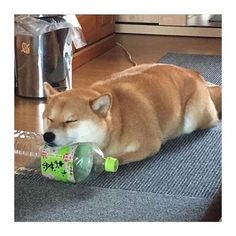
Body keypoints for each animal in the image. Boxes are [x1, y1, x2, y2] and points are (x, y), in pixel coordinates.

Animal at [42, 63, 221, 165]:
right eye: (49, 118)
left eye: (70, 121)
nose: (47, 136)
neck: (119, 119)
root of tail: (194, 73)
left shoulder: (149, 144)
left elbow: (118, 158)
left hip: (192, 118)